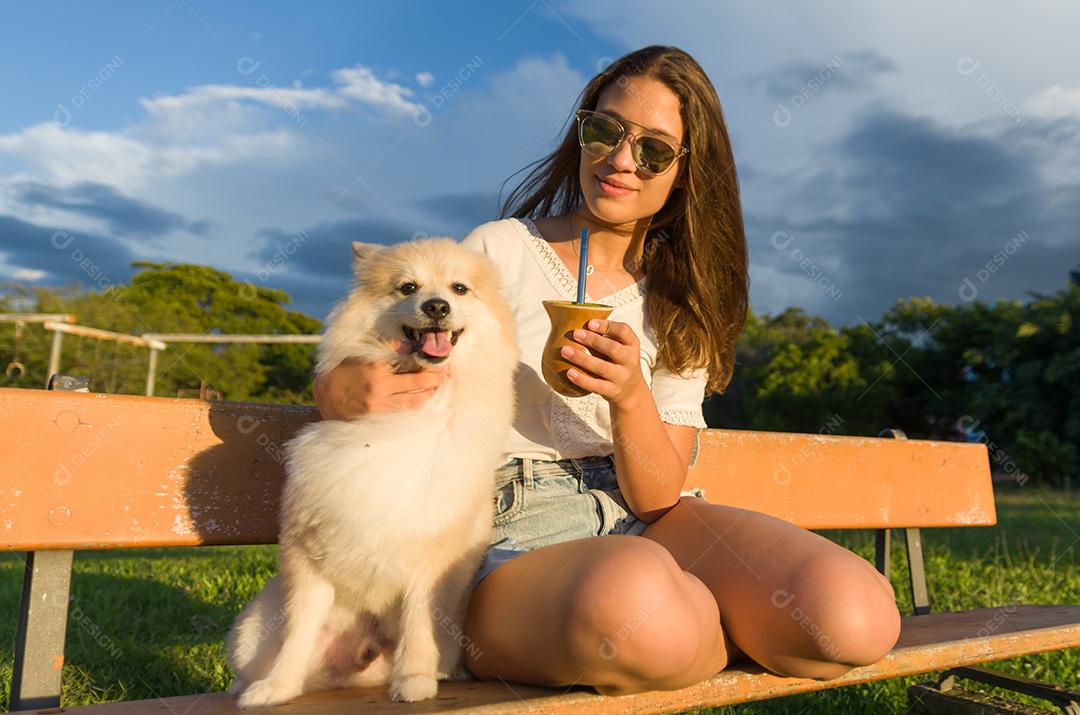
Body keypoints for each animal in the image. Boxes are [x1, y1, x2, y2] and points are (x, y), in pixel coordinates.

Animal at [225, 239, 516, 704]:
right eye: (408, 287)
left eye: (459, 288)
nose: (437, 306)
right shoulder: (307, 559)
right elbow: (297, 633)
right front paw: (277, 687)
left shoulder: (432, 562)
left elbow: (420, 623)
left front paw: (414, 679)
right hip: (250, 629)